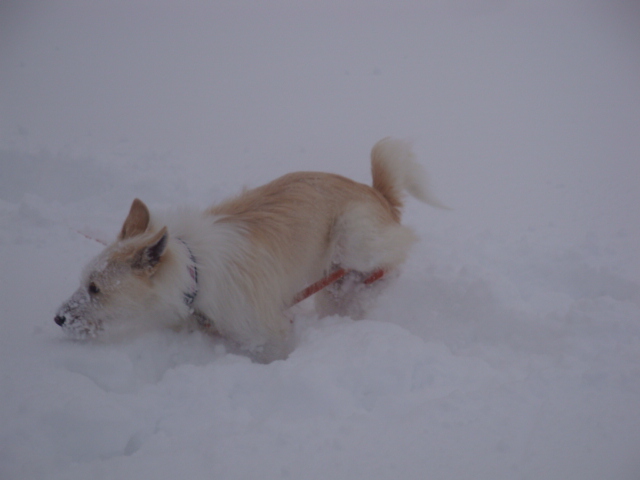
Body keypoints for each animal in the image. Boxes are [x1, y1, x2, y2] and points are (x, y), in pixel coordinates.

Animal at [56, 137, 444, 362]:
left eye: (95, 288)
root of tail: (377, 193)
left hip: (355, 236)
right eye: (84, 281)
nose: (57, 318)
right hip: (330, 279)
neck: (194, 275)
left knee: (399, 246)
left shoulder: (268, 332)